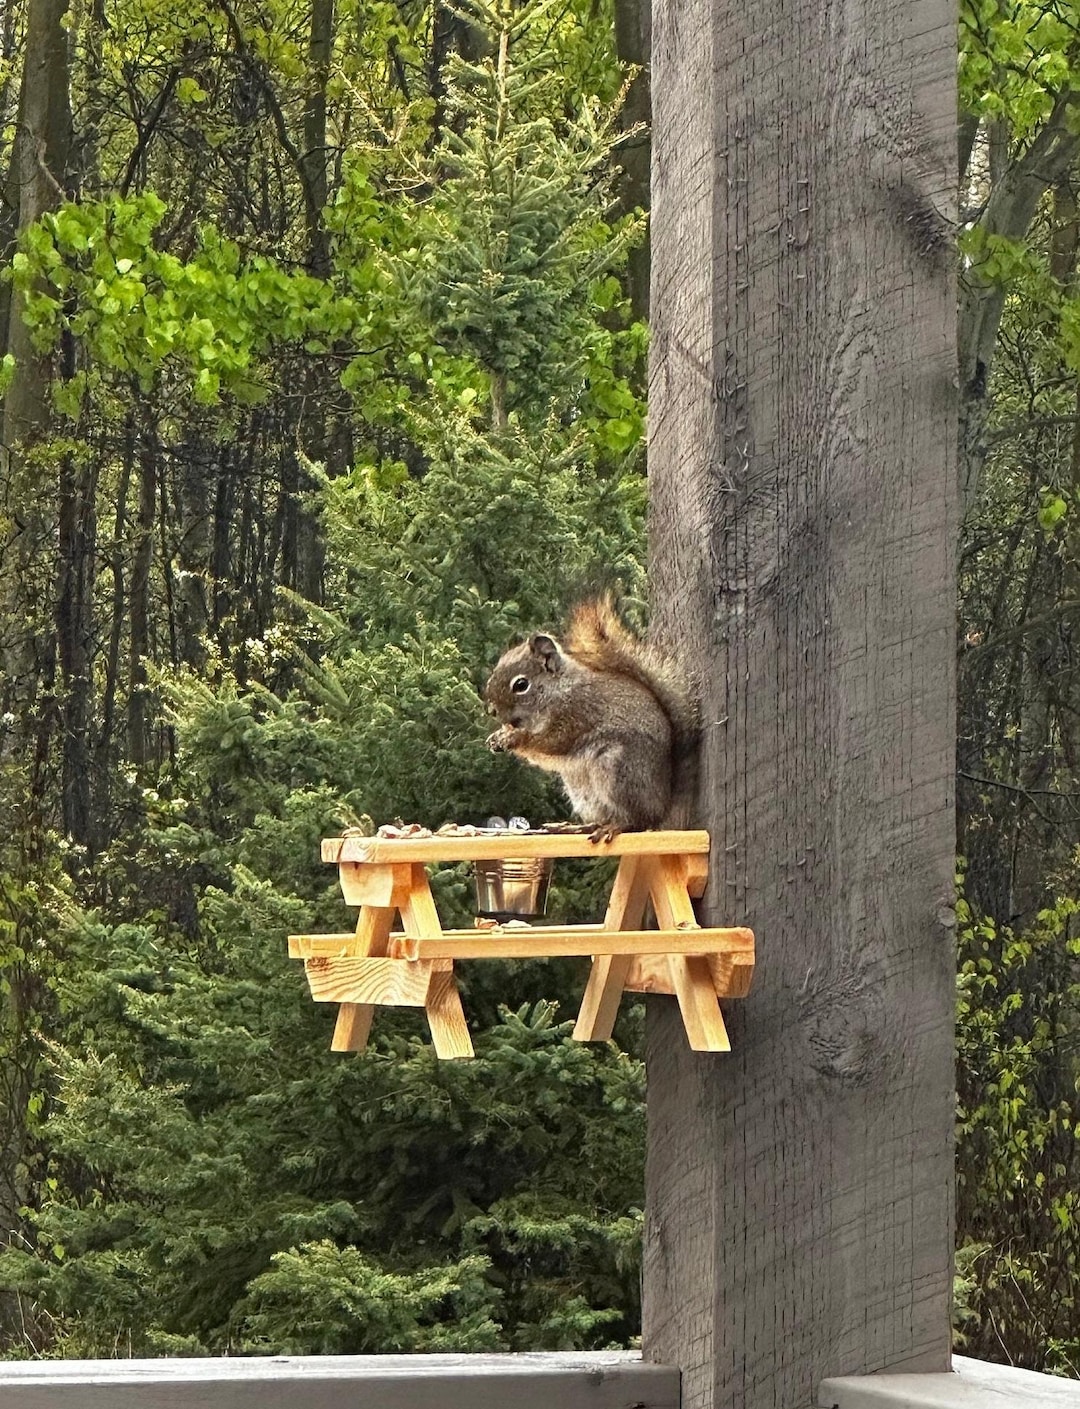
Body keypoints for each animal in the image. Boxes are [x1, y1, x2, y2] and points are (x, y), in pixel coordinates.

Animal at [483, 595, 697, 842]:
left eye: (521, 685)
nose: (492, 710)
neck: (557, 690)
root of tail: (663, 804)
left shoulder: (577, 714)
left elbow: (550, 742)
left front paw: (515, 739)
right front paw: (497, 736)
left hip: (617, 770)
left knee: (638, 821)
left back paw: (615, 827)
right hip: (582, 792)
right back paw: (575, 828)